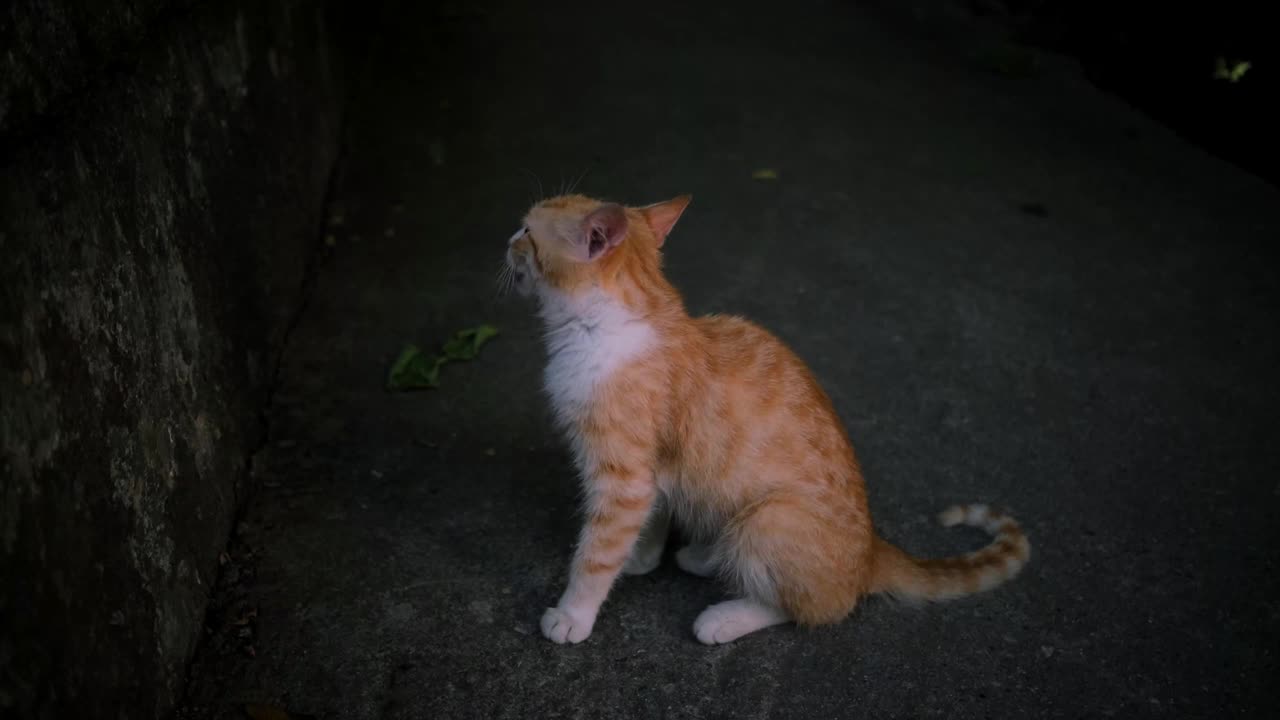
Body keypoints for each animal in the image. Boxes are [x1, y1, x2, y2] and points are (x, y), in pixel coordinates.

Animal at [501, 192, 1029, 645]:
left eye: (527, 230)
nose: (507, 240)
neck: (604, 326)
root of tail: (871, 552)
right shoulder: (649, 473)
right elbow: (649, 517)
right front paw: (642, 557)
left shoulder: (623, 480)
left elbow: (594, 555)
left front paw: (573, 614)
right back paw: (706, 554)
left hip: (769, 518)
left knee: (814, 608)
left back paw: (726, 616)